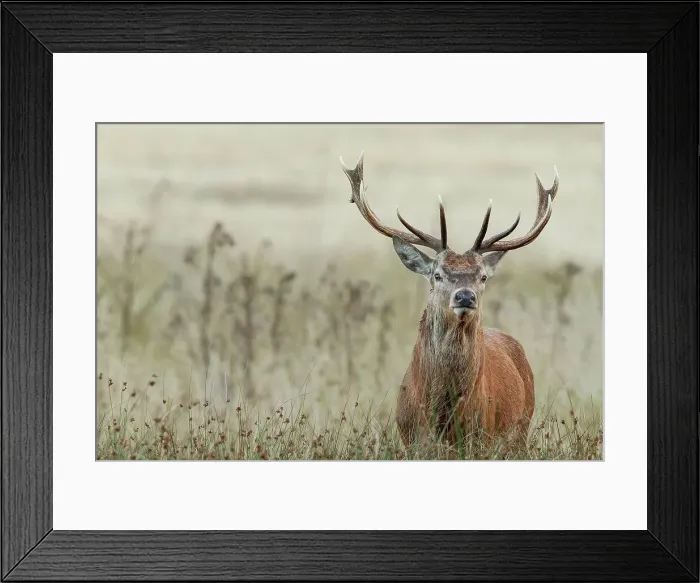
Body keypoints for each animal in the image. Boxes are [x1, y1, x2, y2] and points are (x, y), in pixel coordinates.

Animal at [339, 152, 559, 452]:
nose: (465, 295)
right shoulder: (411, 440)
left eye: (483, 277)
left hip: (521, 429)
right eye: (437, 274)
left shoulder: (480, 440)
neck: (441, 416)